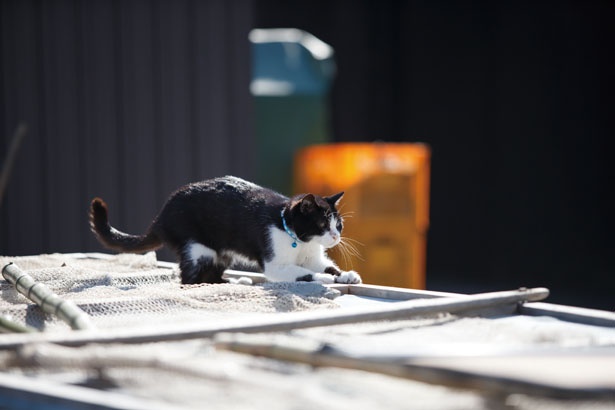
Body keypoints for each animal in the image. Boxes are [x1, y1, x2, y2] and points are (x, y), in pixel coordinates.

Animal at [89, 175, 364, 286]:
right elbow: (302, 273)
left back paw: (235, 280)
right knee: (191, 278)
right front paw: (324, 279)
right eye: (322, 225)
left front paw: (345, 275)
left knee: (211, 272)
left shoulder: (313, 256)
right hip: (196, 244)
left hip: (222, 251)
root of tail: (161, 216)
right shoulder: (275, 262)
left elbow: (324, 265)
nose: (336, 236)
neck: (299, 240)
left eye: (338, 225)